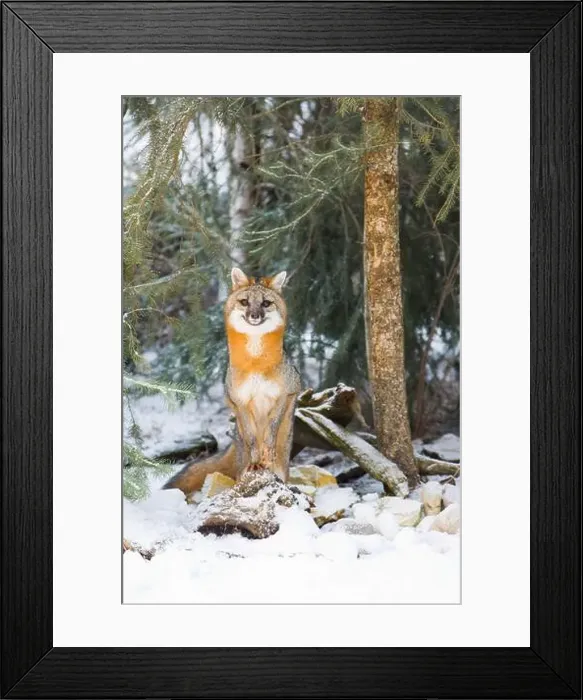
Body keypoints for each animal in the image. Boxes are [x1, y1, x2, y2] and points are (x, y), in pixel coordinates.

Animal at [164, 267, 301, 495]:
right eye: (245, 302)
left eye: (266, 303)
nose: (254, 315)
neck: (255, 363)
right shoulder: (241, 402)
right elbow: (253, 440)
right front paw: (255, 462)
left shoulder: (287, 393)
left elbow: (270, 432)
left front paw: (267, 452)